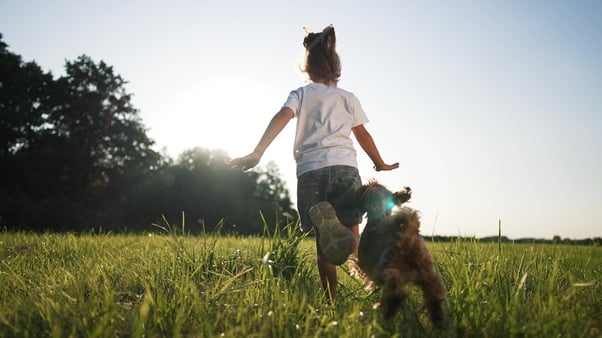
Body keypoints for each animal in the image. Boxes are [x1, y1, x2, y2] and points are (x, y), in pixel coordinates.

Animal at [352, 181, 446, 328]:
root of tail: (408, 232)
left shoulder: (364, 266)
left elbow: (357, 266)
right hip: (427, 273)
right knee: (434, 294)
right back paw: (438, 320)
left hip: (386, 267)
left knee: (396, 287)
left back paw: (388, 309)